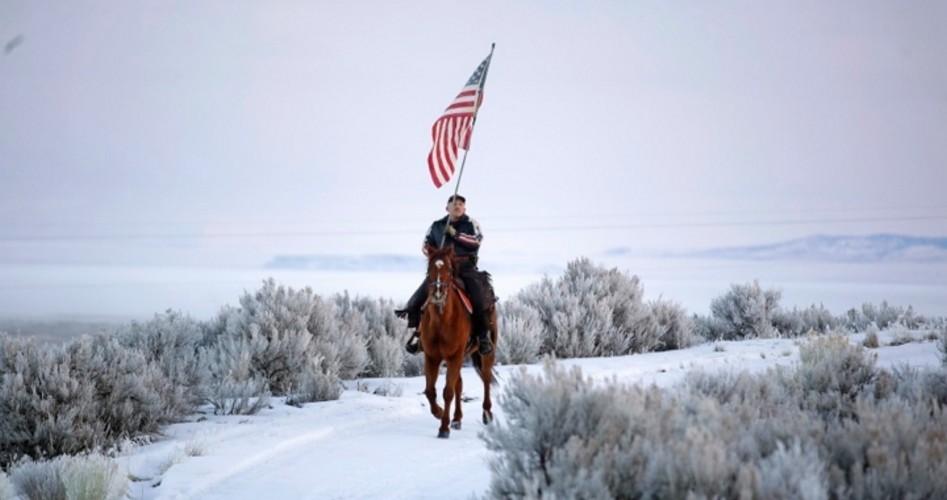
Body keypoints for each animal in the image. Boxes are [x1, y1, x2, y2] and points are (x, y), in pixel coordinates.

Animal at [420, 245, 500, 438]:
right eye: (429, 269)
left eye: (449, 269)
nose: (438, 292)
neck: (442, 322)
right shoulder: (432, 357)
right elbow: (430, 391)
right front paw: (440, 413)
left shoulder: (454, 356)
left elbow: (447, 392)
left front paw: (443, 428)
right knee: (460, 383)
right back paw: (457, 419)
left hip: (486, 352)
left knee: (486, 378)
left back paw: (487, 413)